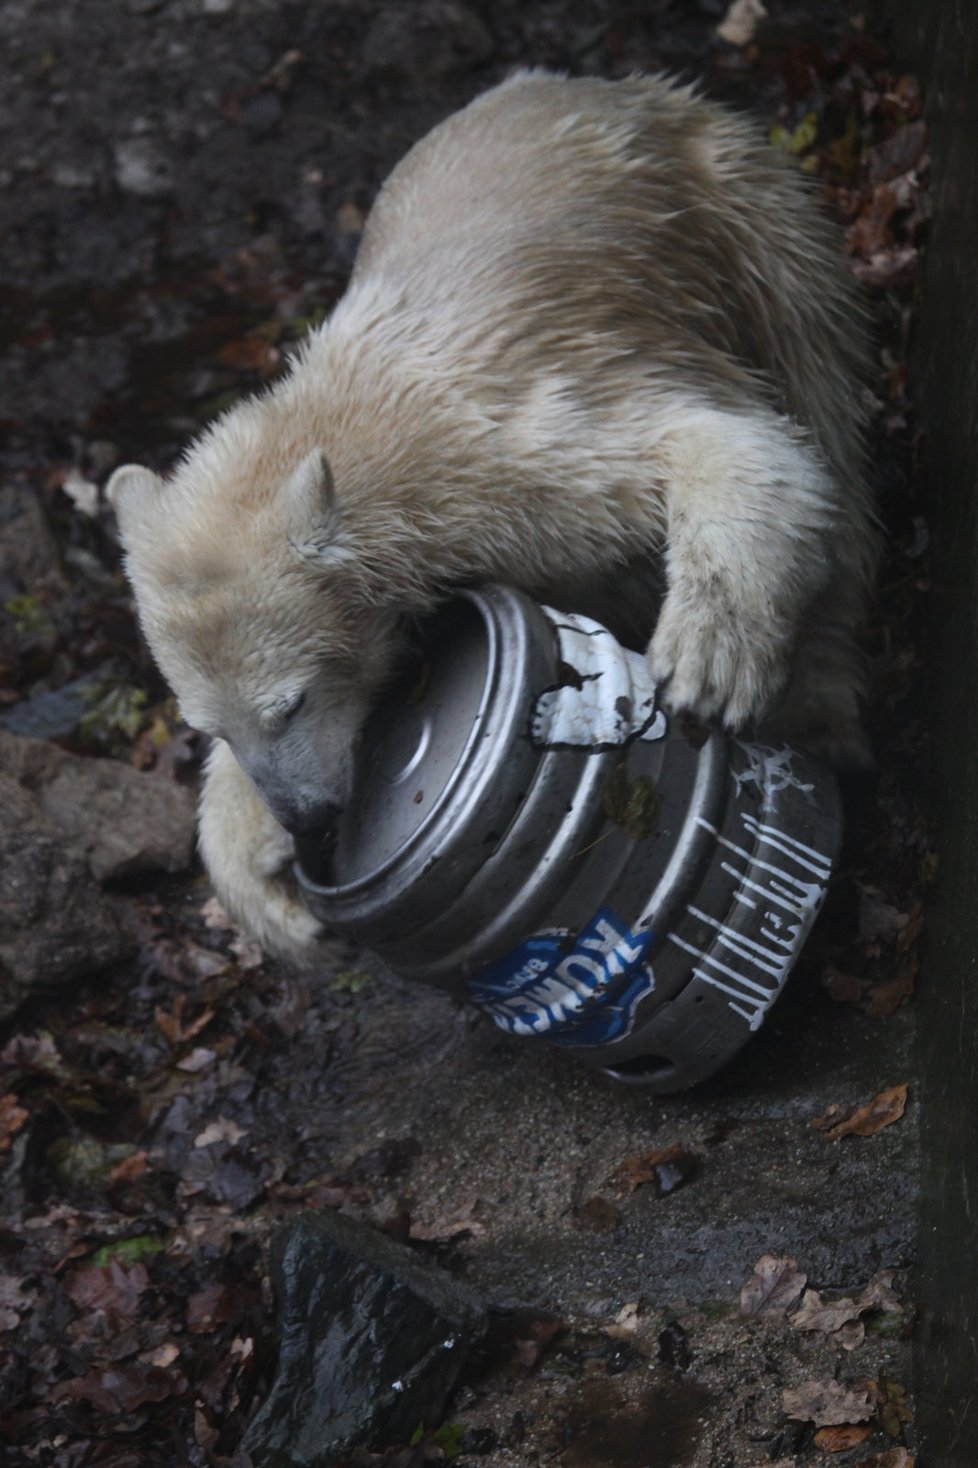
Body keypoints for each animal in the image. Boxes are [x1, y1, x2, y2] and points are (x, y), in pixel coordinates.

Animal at [106, 68, 869, 963]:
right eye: (209, 726)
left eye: (288, 702)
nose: (306, 817)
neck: (358, 428)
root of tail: (573, 83)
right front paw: (265, 885)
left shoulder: (509, 446)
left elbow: (728, 444)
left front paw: (709, 660)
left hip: (730, 201)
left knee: (820, 389)